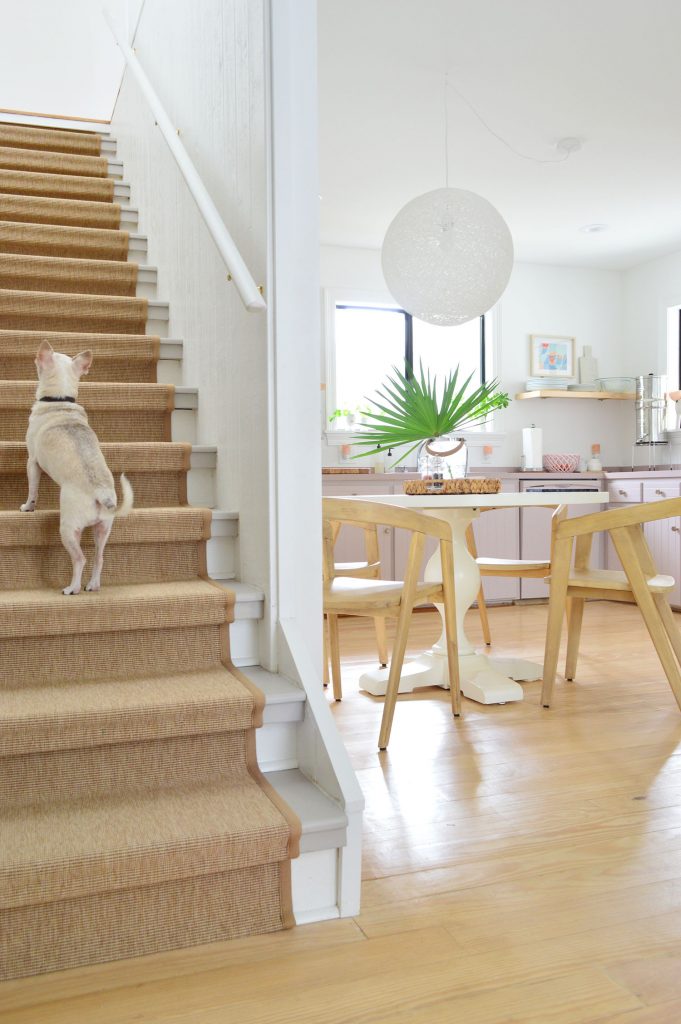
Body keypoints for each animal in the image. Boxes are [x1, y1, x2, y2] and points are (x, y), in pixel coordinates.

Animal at [20, 339, 133, 598]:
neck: (59, 400)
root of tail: (102, 492)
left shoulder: (33, 462)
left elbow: (32, 489)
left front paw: (28, 507)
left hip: (68, 529)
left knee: (80, 559)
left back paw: (73, 587)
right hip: (103, 529)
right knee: (99, 557)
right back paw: (93, 584)